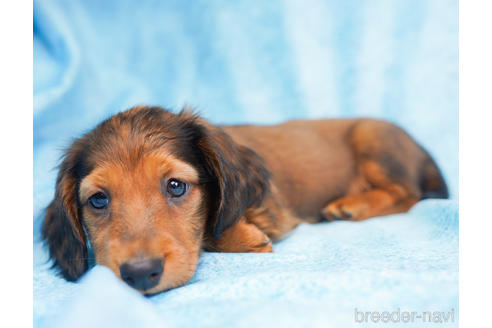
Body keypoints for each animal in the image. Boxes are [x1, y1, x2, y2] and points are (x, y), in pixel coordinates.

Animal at [43, 105, 450, 294]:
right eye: (98, 200)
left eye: (176, 186)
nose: (141, 273)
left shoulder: (274, 207)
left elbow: (214, 225)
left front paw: (242, 236)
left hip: (372, 138)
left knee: (408, 194)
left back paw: (351, 205)